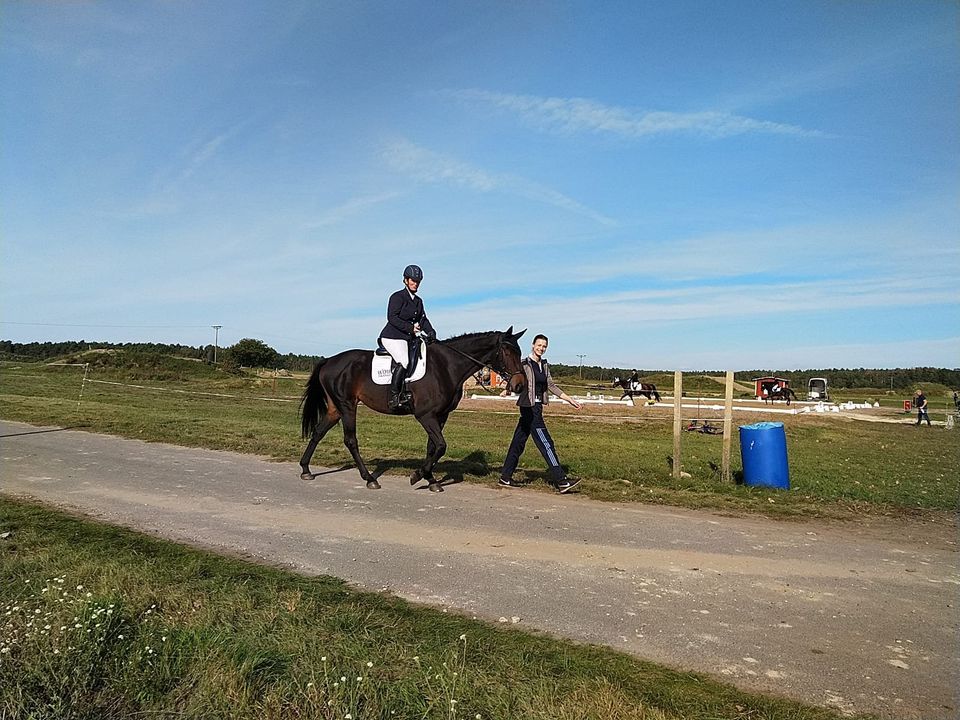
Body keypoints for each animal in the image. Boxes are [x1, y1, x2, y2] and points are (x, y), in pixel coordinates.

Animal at [300, 328, 524, 492]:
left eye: (520, 352)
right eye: (507, 352)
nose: (520, 385)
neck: (446, 366)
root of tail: (329, 360)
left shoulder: (440, 416)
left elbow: (432, 447)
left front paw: (431, 479)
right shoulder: (425, 415)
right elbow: (441, 446)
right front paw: (417, 475)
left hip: (335, 408)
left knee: (318, 432)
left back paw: (305, 469)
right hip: (347, 406)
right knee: (350, 440)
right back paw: (370, 478)